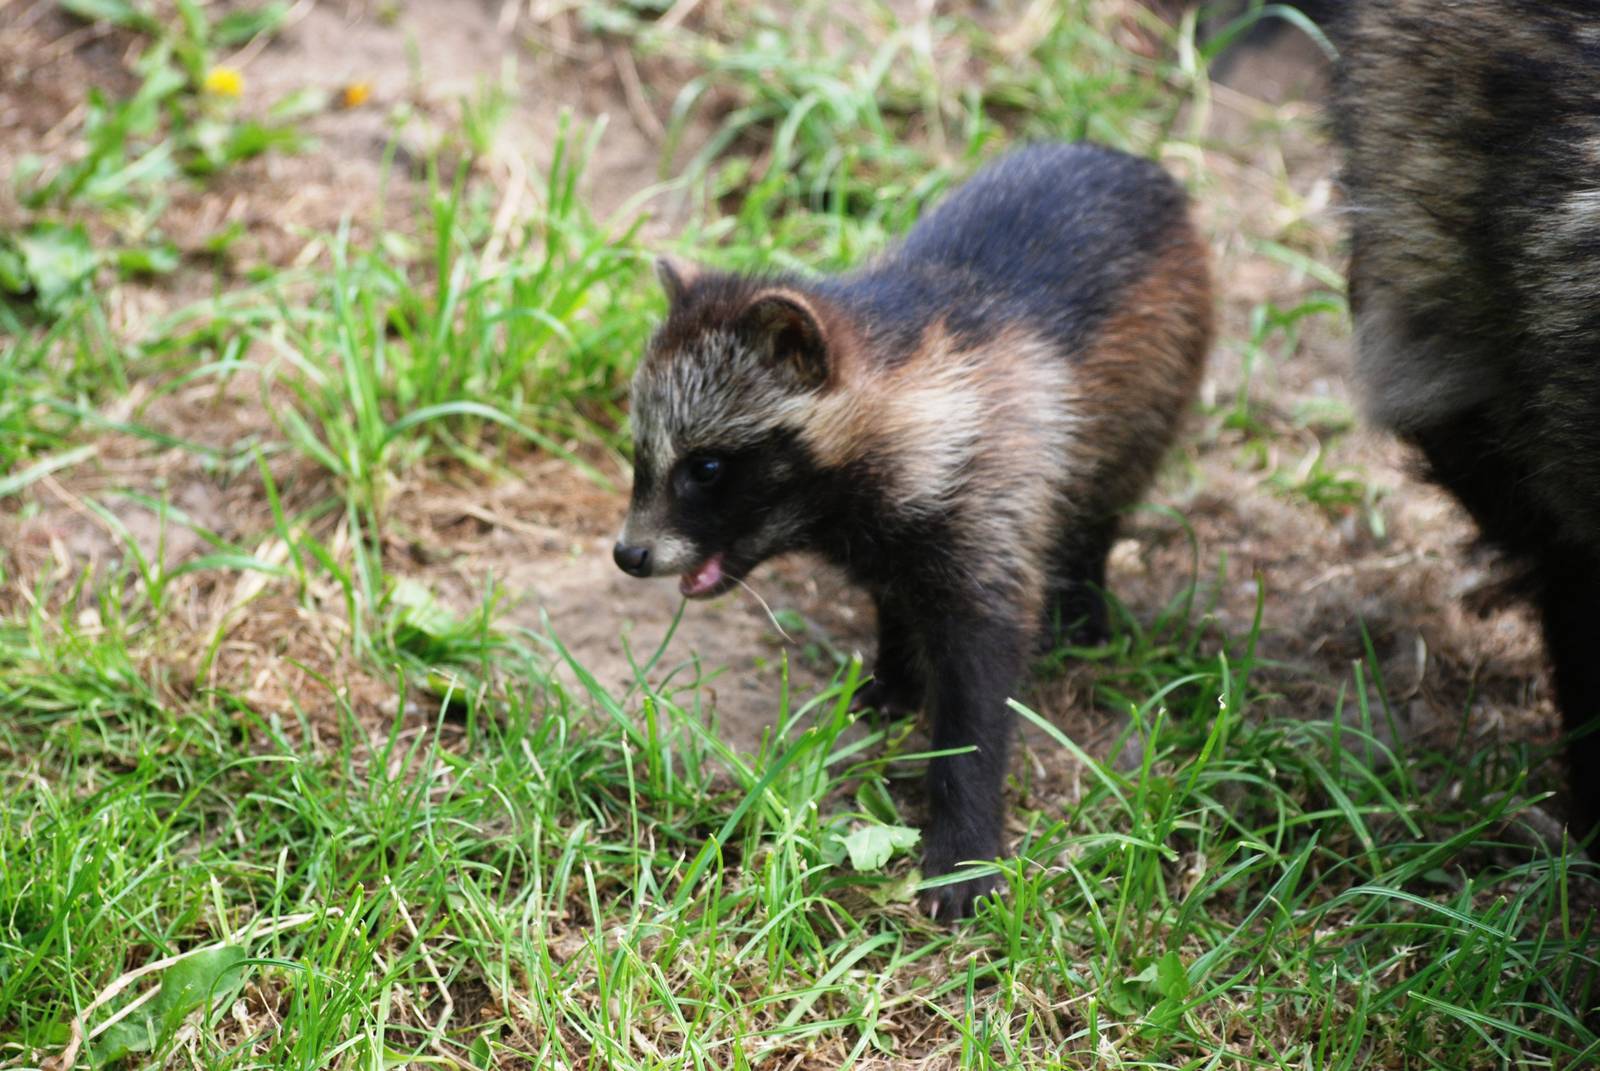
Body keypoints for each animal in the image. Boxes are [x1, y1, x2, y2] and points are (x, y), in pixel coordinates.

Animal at [614, 143, 1212, 916]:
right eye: (639, 454)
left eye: (707, 466)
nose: (628, 553)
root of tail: (1134, 162)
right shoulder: (891, 532)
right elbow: (890, 593)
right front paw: (895, 673)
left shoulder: (994, 495)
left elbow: (979, 696)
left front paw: (962, 841)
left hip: (1160, 380)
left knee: (1104, 503)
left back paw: (1086, 599)